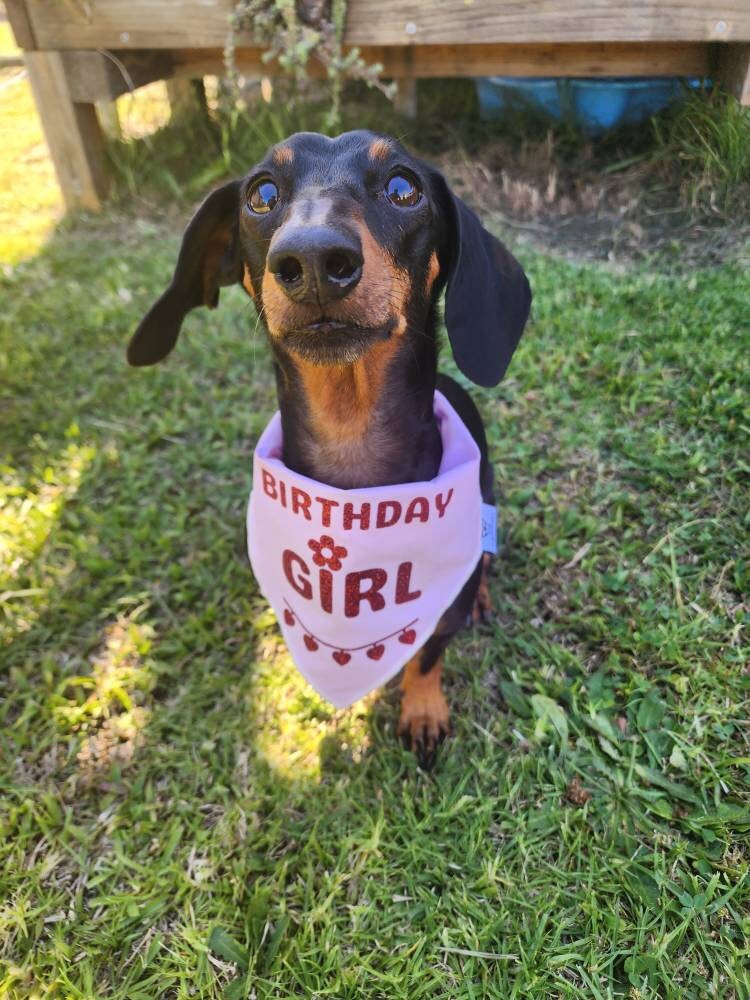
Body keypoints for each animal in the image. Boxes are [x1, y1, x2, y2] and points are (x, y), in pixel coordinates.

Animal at [128, 131, 528, 764]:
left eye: (404, 187)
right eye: (262, 193)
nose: (313, 260)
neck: (351, 448)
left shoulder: (439, 618)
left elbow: (426, 655)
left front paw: (422, 712)